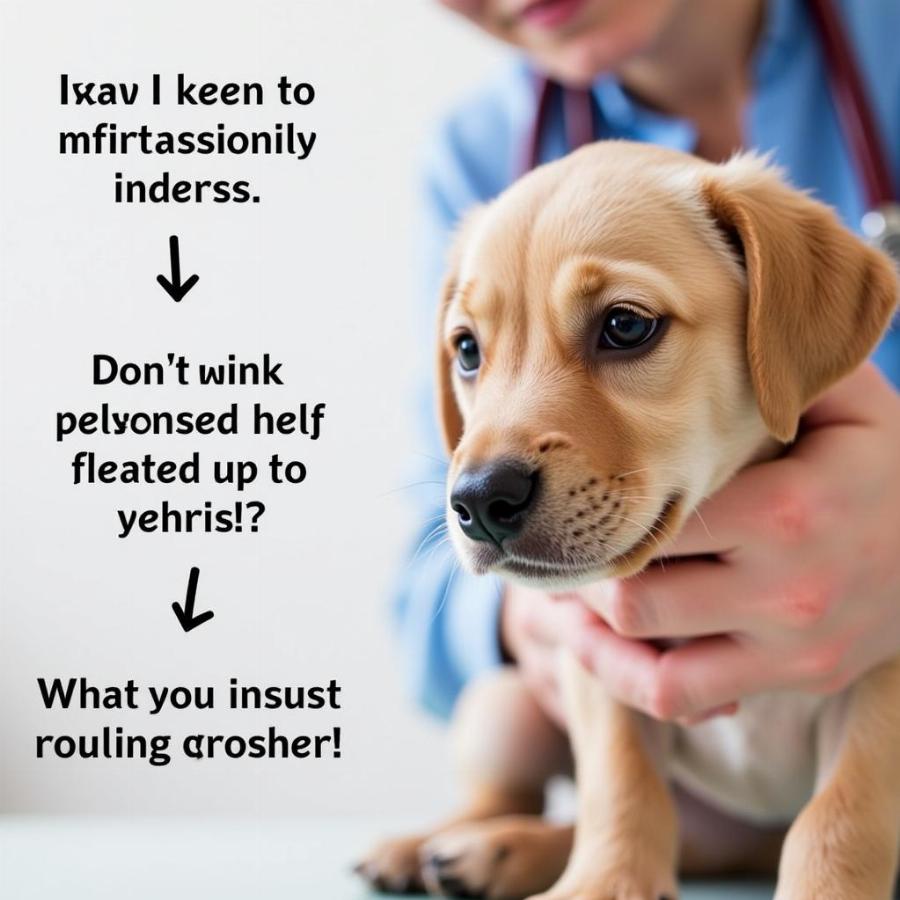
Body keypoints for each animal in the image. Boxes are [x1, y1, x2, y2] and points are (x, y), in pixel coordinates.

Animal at [358, 144, 900, 896]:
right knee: (507, 797)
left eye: (625, 325)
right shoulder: (598, 666)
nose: (477, 501)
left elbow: (839, 817)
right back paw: (451, 846)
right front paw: (605, 882)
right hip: (499, 703)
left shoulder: (877, 673)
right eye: (466, 351)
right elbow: (620, 785)